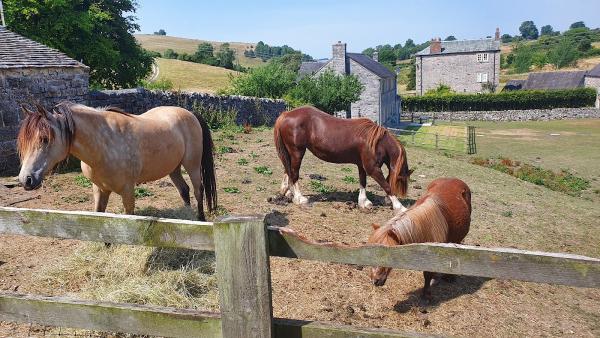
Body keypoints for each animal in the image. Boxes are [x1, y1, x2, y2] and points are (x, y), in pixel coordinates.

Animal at [15, 101, 218, 220]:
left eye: (44, 139)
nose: (26, 179)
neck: (103, 145)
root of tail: (190, 114)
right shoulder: (100, 189)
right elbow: (100, 215)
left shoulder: (127, 191)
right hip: (173, 168)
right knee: (184, 190)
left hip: (192, 165)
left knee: (198, 190)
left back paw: (200, 219)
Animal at [274, 107, 410, 210]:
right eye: (401, 180)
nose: (386, 202)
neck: (377, 142)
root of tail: (286, 114)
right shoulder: (372, 169)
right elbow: (387, 186)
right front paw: (400, 207)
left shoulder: (362, 166)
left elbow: (363, 182)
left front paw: (364, 202)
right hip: (297, 152)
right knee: (294, 173)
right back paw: (299, 198)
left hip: (291, 153)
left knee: (288, 170)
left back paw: (287, 192)